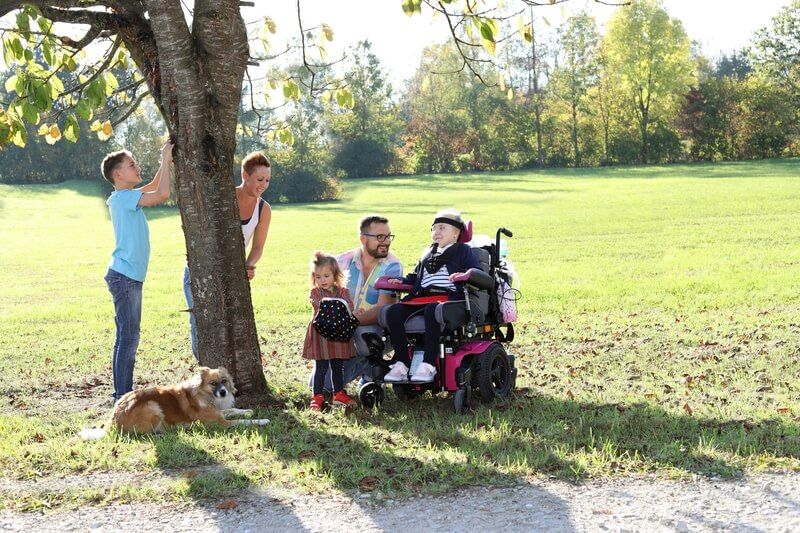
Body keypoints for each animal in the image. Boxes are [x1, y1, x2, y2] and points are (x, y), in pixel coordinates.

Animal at [80, 366, 268, 436]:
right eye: (213, 383)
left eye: (224, 381)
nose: (223, 392)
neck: (205, 395)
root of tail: (112, 422)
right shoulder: (220, 423)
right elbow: (243, 421)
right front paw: (263, 420)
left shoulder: (218, 411)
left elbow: (231, 410)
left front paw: (248, 410)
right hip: (153, 406)